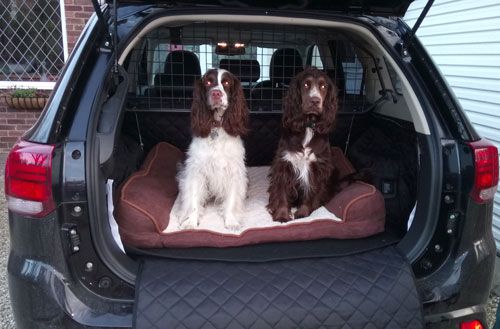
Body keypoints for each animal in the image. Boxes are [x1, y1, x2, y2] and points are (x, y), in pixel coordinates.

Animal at [176, 68, 250, 229]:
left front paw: (231, 220)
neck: (216, 126)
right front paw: (191, 221)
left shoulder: (234, 170)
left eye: (226, 83)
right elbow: (194, 198)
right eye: (208, 82)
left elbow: (232, 198)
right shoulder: (196, 169)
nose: (216, 93)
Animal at [268, 66, 338, 222]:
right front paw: (282, 214)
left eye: (323, 86)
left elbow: (311, 192)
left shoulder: (317, 168)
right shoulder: (284, 164)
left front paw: (303, 213)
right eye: (306, 84)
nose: (315, 101)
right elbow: (282, 191)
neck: (308, 126)